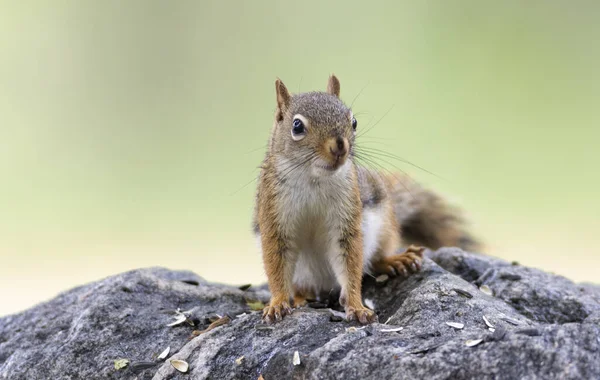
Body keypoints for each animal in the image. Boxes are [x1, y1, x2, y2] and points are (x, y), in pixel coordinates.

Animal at [253, 75, 478, 324]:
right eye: (297, 126)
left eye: (354, 122)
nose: (340, 145)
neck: (314, 179)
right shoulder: (273, 217)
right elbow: (276, 265)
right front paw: (277, 303)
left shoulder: (348, 215)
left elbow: (350, 262)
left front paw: (356, 306)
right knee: (302, 286)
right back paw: (302, 297)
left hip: (385, 224)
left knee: (374, 258)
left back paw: (394, 260)